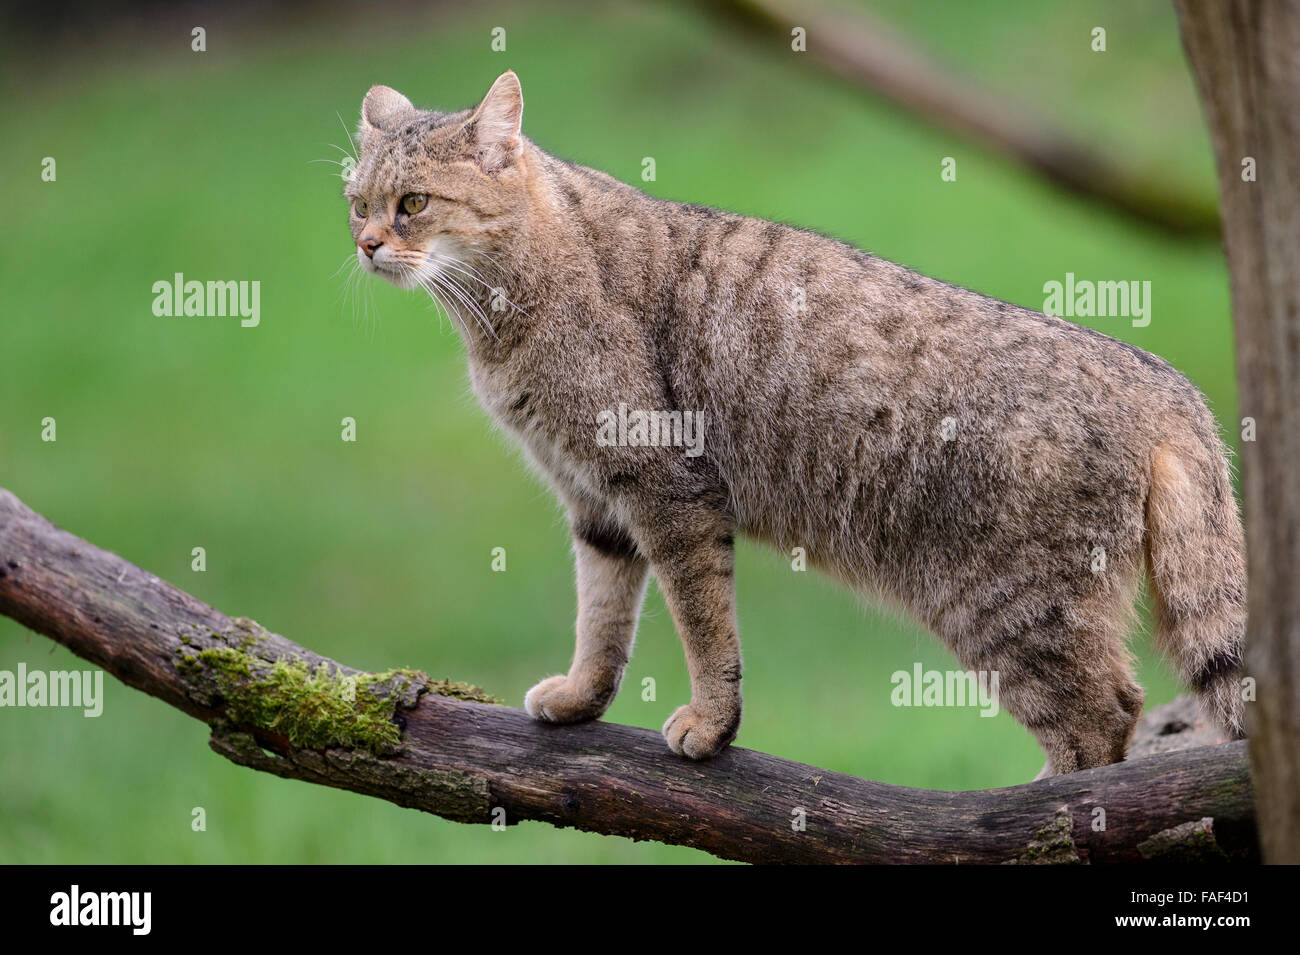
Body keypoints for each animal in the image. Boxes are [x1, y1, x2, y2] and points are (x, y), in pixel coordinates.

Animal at [348, 72, 1248, 779]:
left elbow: (702, 625)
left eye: (414, 203)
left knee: (1101, 719)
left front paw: (710, 725)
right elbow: (601, 617)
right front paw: (580, 698)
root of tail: (1165, 380)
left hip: (1010, 606)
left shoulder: (667, 489)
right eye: (356, 203)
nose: (364, 245)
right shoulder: (596, 500)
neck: (500, 316)